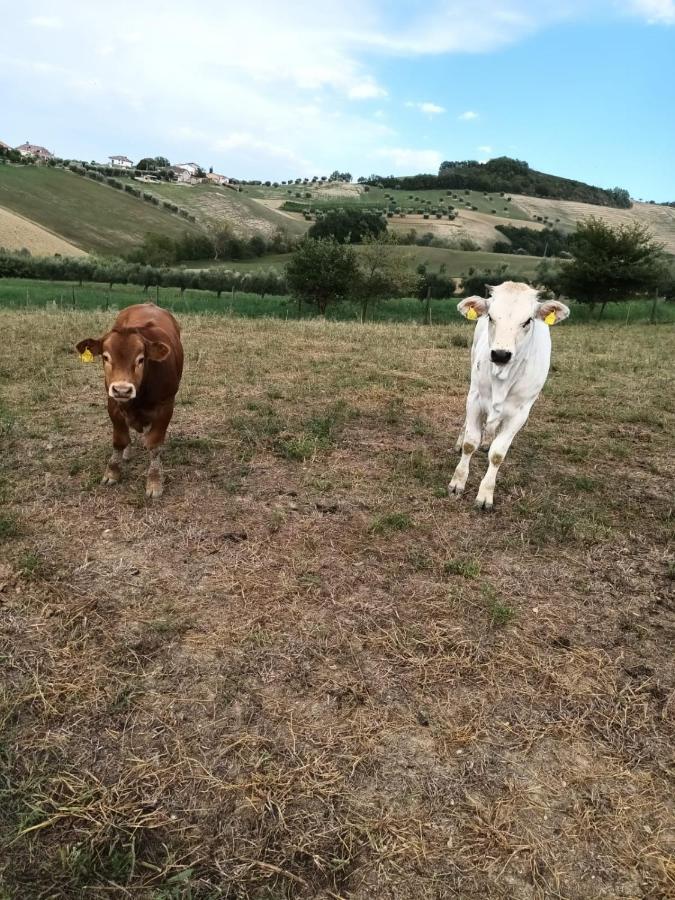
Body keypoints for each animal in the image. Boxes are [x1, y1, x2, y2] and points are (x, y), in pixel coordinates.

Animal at [76, 302, 184, 500]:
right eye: (105, 357)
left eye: (141, 359)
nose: (122, 389)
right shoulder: (113, 405)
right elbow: (119, 440)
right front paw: (112, 472)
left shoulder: (166, 407)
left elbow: (154, 445)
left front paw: (154, 481)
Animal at [448, 282, 572, 510]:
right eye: (491, 317)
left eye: (528, 321)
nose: (500, 354)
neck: (502, 377)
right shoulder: (475, 398)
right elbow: (470, 443)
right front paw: (457, 483)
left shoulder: (520, 413)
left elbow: (497, 455)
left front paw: (485, 494)